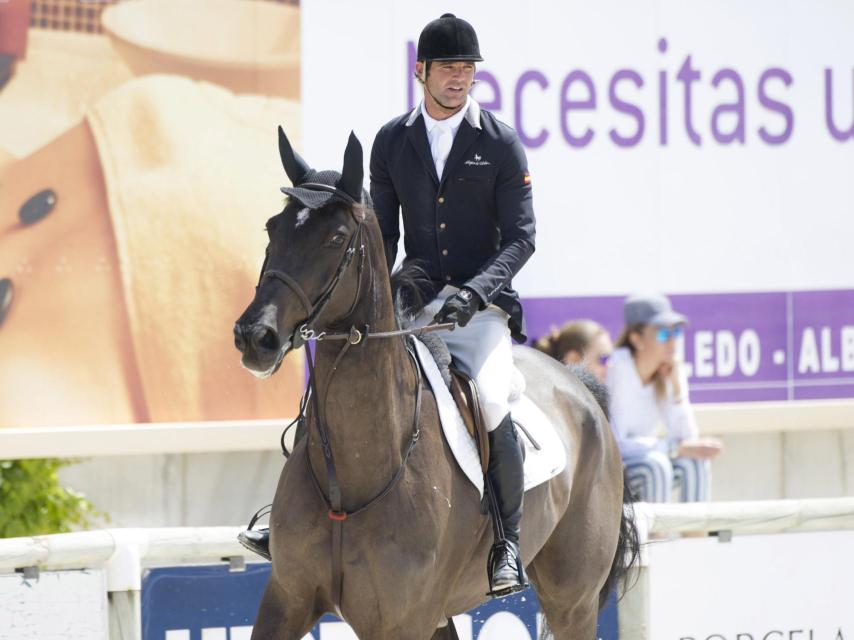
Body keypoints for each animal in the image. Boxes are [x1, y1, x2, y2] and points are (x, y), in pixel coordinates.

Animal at [231, 127, 640, 636]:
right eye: (273, 227)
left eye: (337, 237)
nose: (255, 336)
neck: (358, 471)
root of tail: (581, 387)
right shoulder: (287, 599)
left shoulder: (399, 624)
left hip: (573, 600)